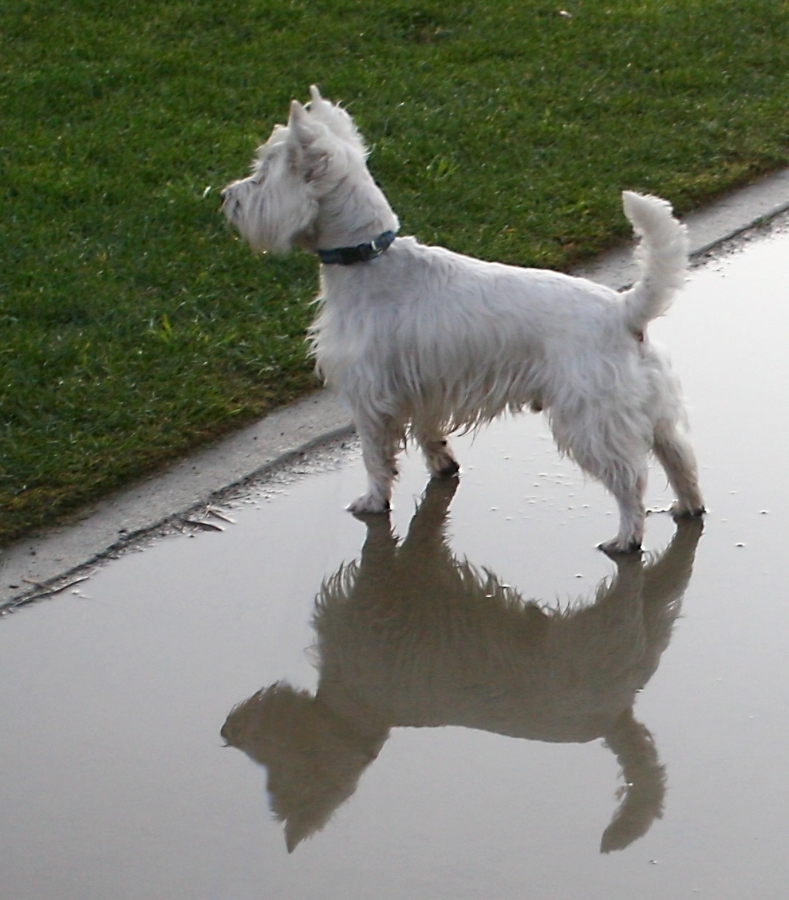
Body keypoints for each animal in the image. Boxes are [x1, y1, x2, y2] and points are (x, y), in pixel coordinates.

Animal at [220, 88, 700, 552]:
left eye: (263, 172)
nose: (226, 196)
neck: (368, 257)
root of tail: (624, 312)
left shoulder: (370, 394)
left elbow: (375, 456)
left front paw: (373, 501)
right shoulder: (423, 388)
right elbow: (430, 434)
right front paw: (443, 467)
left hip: (591, 418)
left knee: (630, 479)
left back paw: (625, 539)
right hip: (653, 409)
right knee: (680, 457)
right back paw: (688, 507)